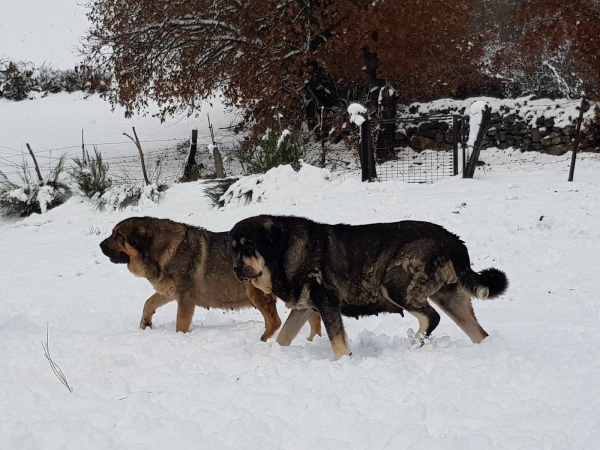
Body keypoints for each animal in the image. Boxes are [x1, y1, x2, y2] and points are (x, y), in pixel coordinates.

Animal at [101, 217, 322, 342]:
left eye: (117, 235)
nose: (100, 245)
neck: (161, 249)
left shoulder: (185, 298)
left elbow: (181, 323)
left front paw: (179, 339)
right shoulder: (169, 292)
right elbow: (148, 303)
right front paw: (145, 323)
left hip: (256, 291)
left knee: (275, 321)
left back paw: (263, 340)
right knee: (313, 318)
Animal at [229, 216, 506, 360]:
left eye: (249, 245)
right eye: (233, 247)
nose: (235, 269)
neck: (284, 252)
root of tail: (454, 242)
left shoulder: (327, 302)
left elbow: (337, 342)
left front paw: (344, 362)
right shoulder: (305, 307)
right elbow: (283, 336)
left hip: (395, 285)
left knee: (431, 317)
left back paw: (415, 343)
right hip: (450, 298)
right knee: (478, 333)